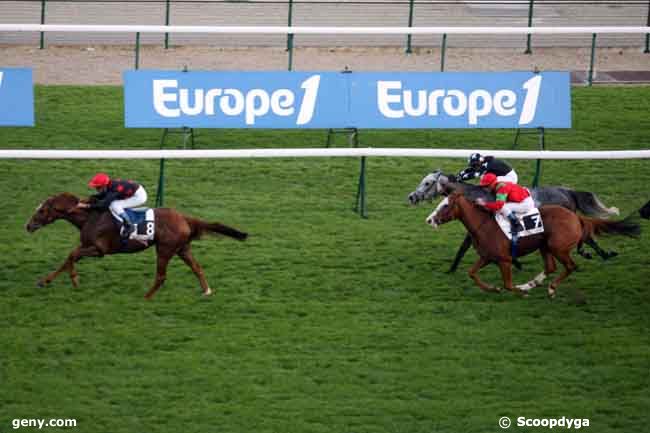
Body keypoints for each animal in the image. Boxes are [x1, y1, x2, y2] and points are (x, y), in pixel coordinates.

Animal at [25, 192, 246, 296]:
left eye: (42, 211)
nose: (28, 226)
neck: (91, 217)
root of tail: (184, 218)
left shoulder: (99, 250)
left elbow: (72, 255)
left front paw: (75, 279)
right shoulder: (87, 246)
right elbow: (68, 258)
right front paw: (44, 281)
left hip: (164, 249)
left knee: (161, 276)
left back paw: (146, 297)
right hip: (182, 249)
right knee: (197, 268)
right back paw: (206, 291)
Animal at [404, 169, 616, 270]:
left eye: (428, 183)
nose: (412, 197)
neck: (476, 196)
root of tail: (568, 191)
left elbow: (465, 247)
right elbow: (464, 247)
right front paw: (452, 268)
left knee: (585, 236)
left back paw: (602, 254)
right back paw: (594, 253)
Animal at [428, 192, 636, 296]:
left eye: (445, 205)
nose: (429, 220)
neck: (484, 225)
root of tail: (575, 216)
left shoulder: (504, 259)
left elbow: (508, 285)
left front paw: (519, 290)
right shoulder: (488, 257)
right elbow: (472, 273)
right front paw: (494, 288)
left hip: (558, 247)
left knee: (570, 266)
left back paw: (549, 288)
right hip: (545, 246)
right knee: (551, 267)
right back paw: (532, 283)